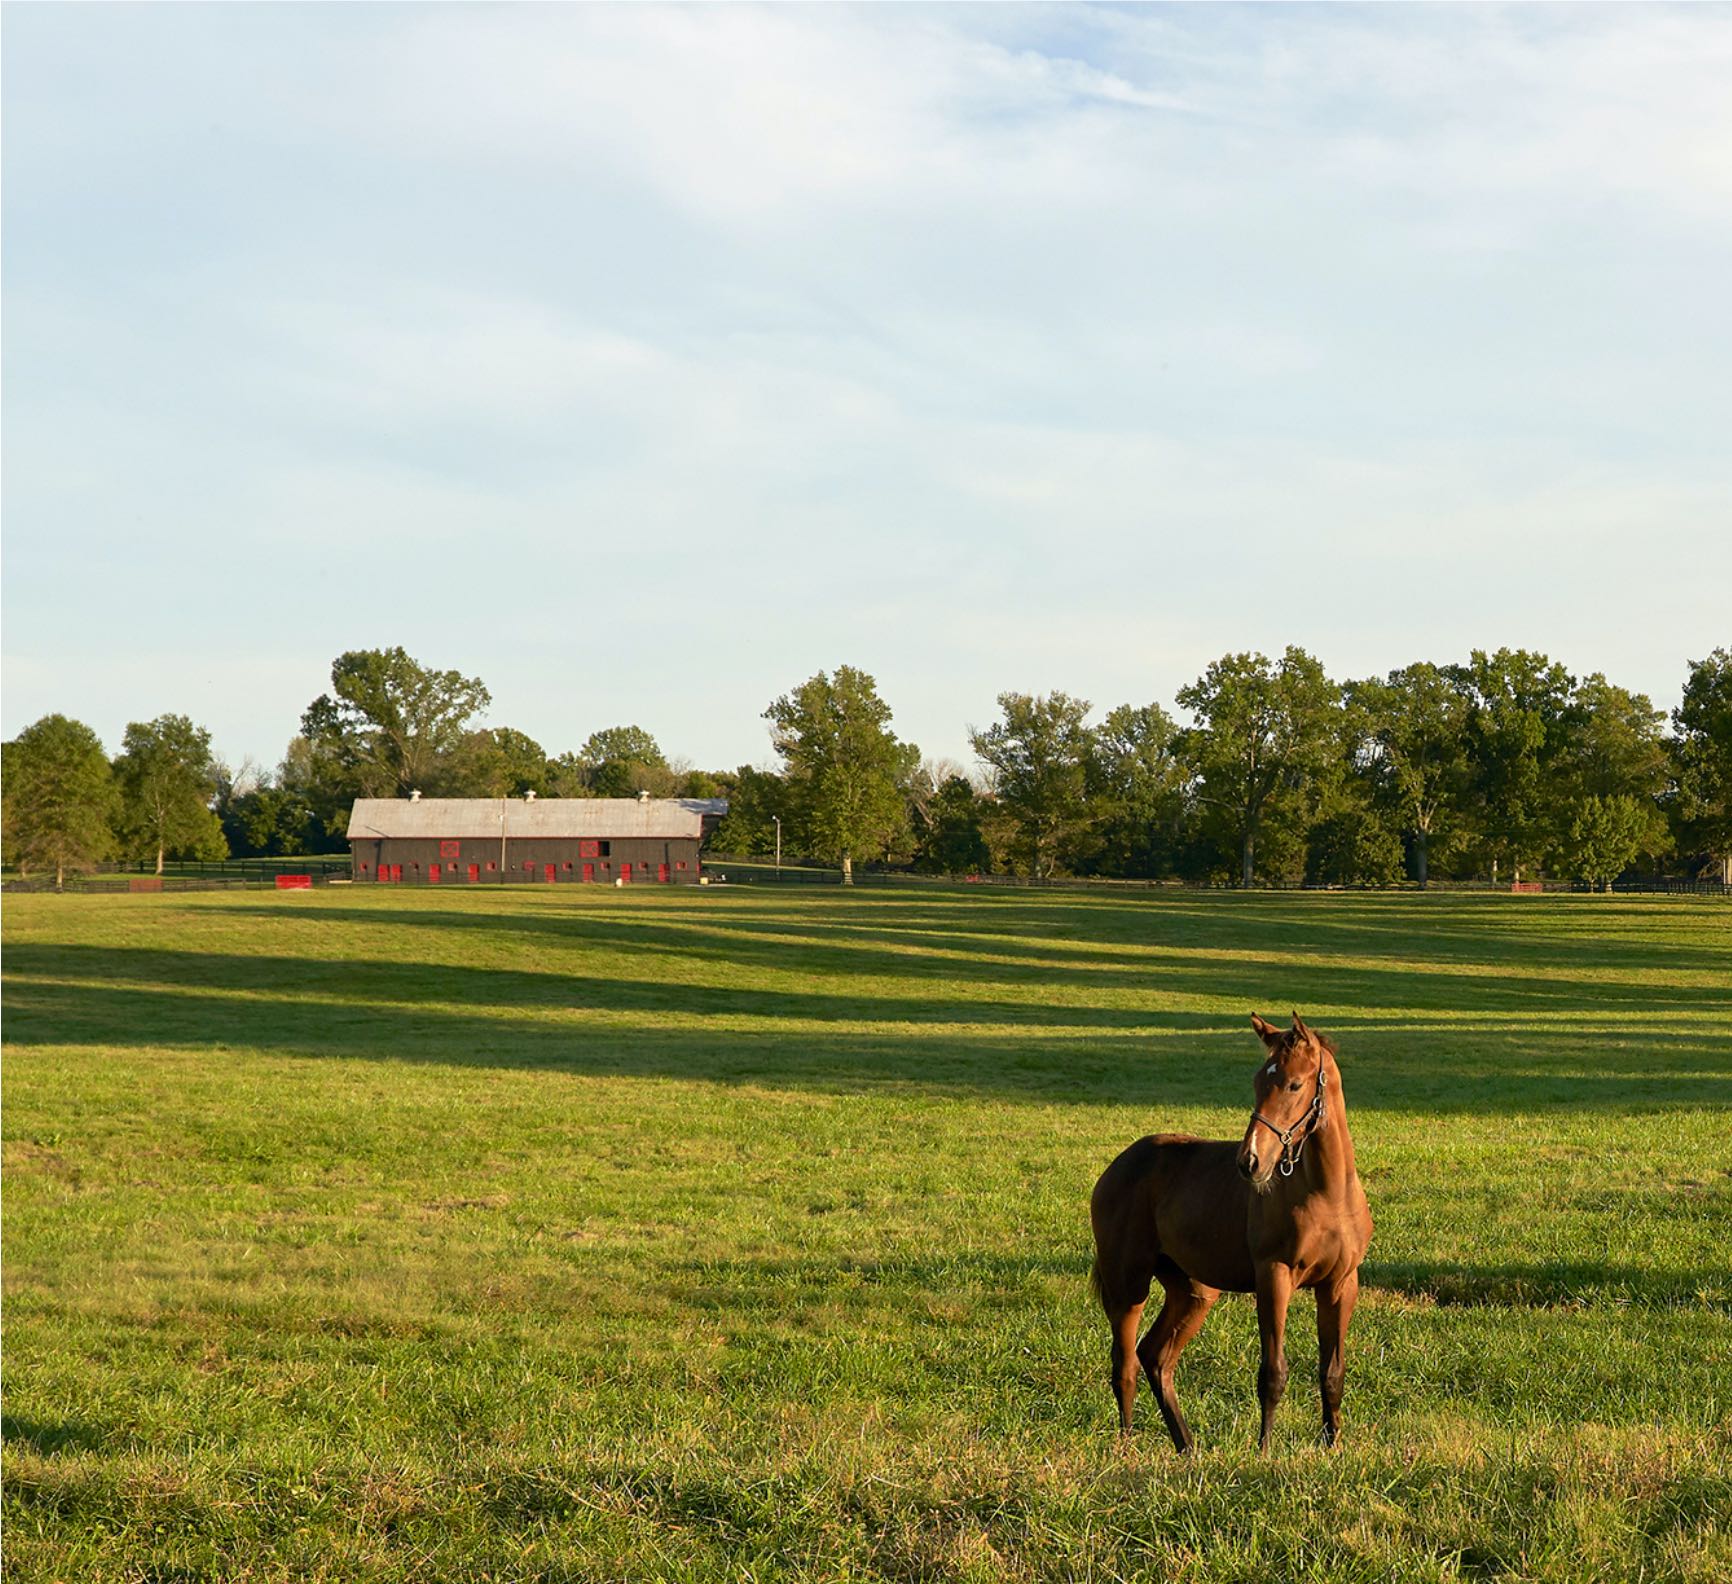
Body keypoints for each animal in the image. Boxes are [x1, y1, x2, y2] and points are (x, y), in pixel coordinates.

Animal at [1087, 1017, 1371, 1447]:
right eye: (1258, 1080)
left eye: (1294, 1084)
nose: (1250, 1162)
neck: (1328, 1195)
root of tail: (1118, 1166)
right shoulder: (1274, 1278)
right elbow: (1273, 1373)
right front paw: (1264, 1450)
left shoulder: (1340, 1284)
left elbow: (1332, 1374)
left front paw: (1332, 1445)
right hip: (1127, 1285)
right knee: (1125, 1366)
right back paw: (1127, 1445)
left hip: (1194, 1291)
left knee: (1155, 1356)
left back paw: (1187, 1446)